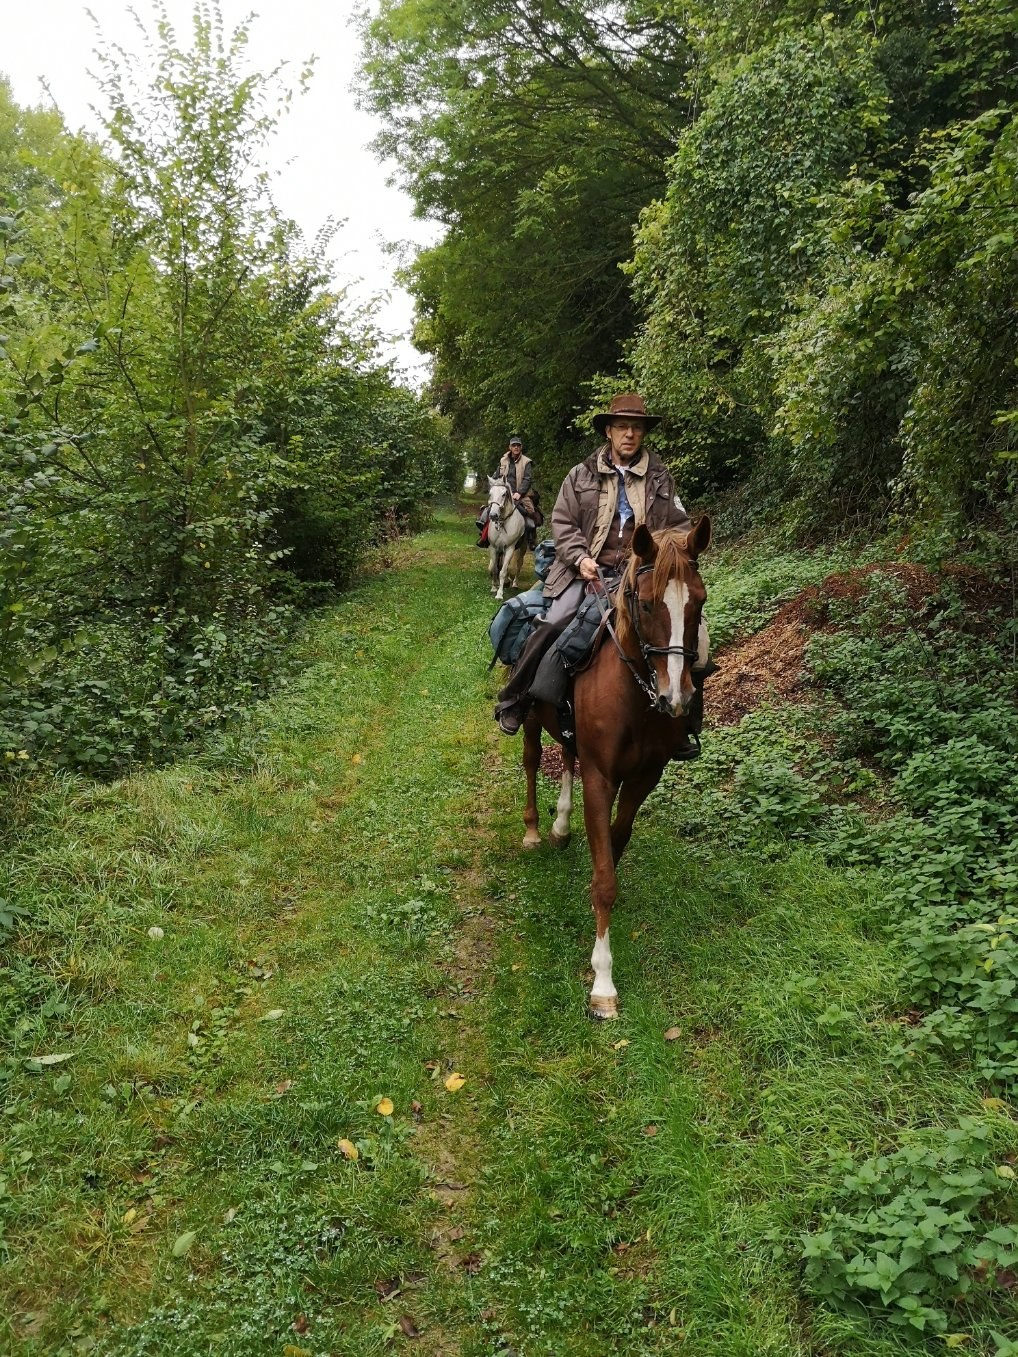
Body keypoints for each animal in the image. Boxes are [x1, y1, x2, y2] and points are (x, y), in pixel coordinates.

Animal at [521, 518, 711, 1020]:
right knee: (531, 762)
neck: (635, 698)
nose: (676, 698)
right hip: (528, 719)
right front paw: (602, 982)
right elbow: (605, 877)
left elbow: (615, 840)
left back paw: (561, 826)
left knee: (566, 757)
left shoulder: (645, 777)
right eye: (645, 603)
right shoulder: (601, 778)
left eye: (700, 601)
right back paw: (533, 830)